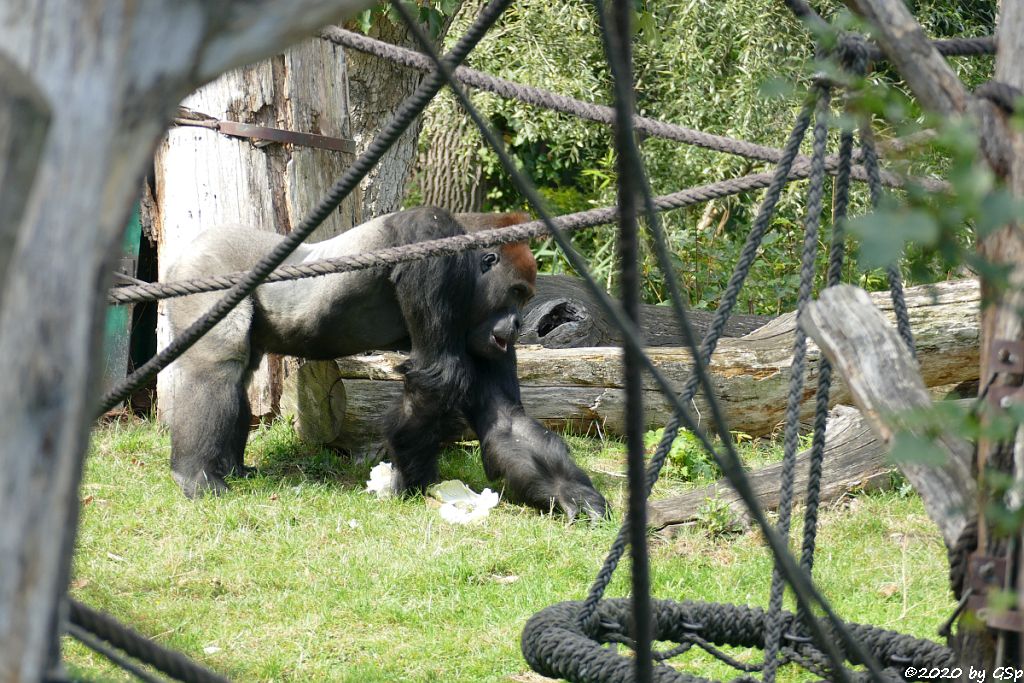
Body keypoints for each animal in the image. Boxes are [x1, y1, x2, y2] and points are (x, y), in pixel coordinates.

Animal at [163, 206, 602, 518]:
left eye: (525, 297)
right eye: (515, 292)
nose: (516, 326)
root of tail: (187, 248)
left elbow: (506, 419)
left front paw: (570, 493)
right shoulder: (432, 243)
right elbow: (439, 377)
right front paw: (408, 481)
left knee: (237, 374)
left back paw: (231, 468)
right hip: (208, 269)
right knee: (215, 368)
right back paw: (197, 474)